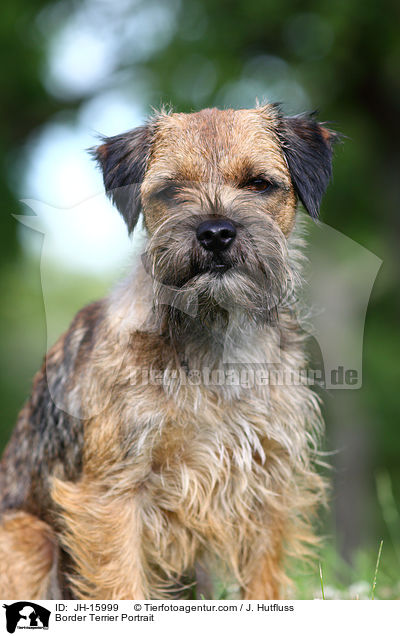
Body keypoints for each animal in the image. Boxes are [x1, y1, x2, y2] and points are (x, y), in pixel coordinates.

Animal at [0, 102, 338, 600]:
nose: (215, 233)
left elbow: (263, 583)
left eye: (259, 184)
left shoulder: (267, 486)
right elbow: (122, 587)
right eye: (171, 190)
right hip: (30, 536)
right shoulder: (113, 494)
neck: (215, 338)